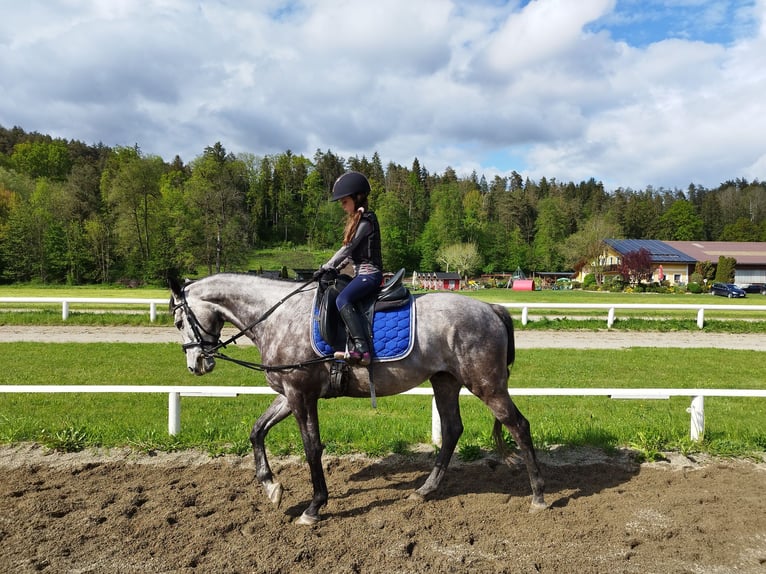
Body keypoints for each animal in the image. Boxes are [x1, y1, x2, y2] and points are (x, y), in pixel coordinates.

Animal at [171, 274, 548, 528]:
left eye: (177, 321)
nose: (195, 364)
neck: (279, 317)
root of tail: (491, 307)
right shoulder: (289, 394)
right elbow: (256, 431)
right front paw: (271, 486)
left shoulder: (301, 395)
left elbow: (312, 448)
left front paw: (314, 507)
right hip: (445, 382)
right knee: (453, 430)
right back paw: (425, 490)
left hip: (487, 385)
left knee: (519, 426)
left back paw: (539, 495)